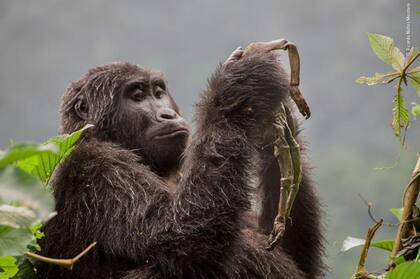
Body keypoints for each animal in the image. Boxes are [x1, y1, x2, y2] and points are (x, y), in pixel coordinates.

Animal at [37, 43, 324, 279]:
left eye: (158, 92)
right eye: (137, 96)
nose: (167, 114)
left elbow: (291, 253)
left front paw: (270, 126)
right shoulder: (96, 166)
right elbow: (175, 237)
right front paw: (240, 87)